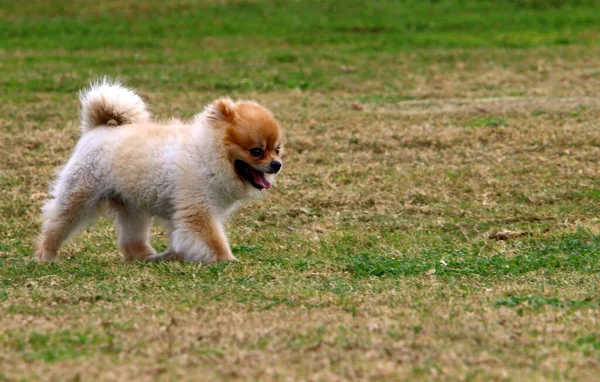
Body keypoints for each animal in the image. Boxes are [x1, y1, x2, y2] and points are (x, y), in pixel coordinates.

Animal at [35, 77, 284, 262]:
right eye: (256, 151)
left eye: (277, 150)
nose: (277, 165)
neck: (207, 154)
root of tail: (96, 128)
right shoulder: (198, 208)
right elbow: (213, 240)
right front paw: (228, 260)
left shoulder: (189, 210)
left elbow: (181, 238)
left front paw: (173, 255)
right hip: (79, 193)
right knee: (57, 223)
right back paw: (46, 255)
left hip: (132, 206)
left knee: (131, 238)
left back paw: (144, 257)